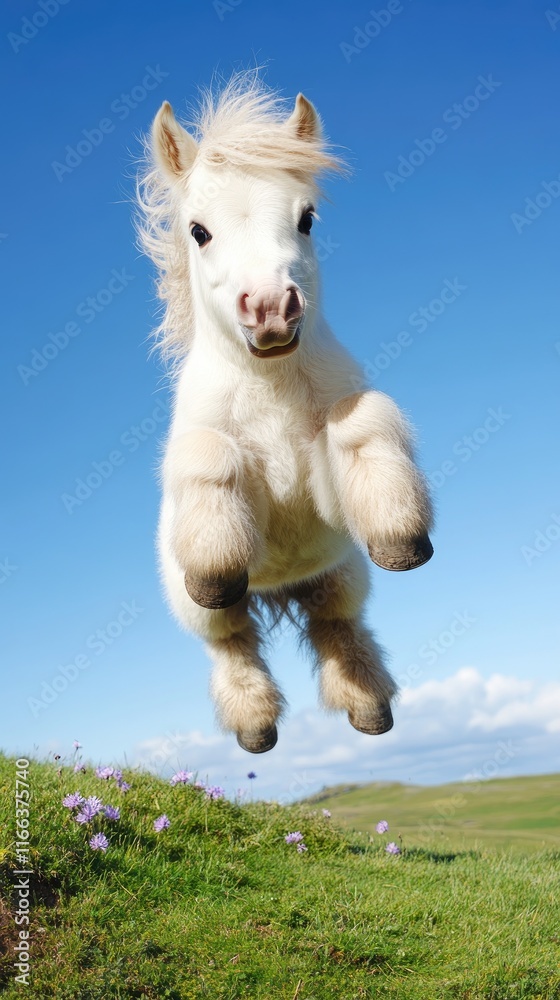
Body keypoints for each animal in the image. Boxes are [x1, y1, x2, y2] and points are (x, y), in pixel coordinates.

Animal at [137, 75, 434, 754]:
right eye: (198, 231)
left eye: (306, 218)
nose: (271, 309)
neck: (269, 389)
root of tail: (279, 586)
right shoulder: (238, 477)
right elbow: (209, 453)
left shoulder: (320, 483)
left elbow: (360, 417)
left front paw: (402, 537)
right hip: (203, 610)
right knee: (232, 643)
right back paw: (255, 725)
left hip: (340, 573)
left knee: (336, 626)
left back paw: (369, 707)